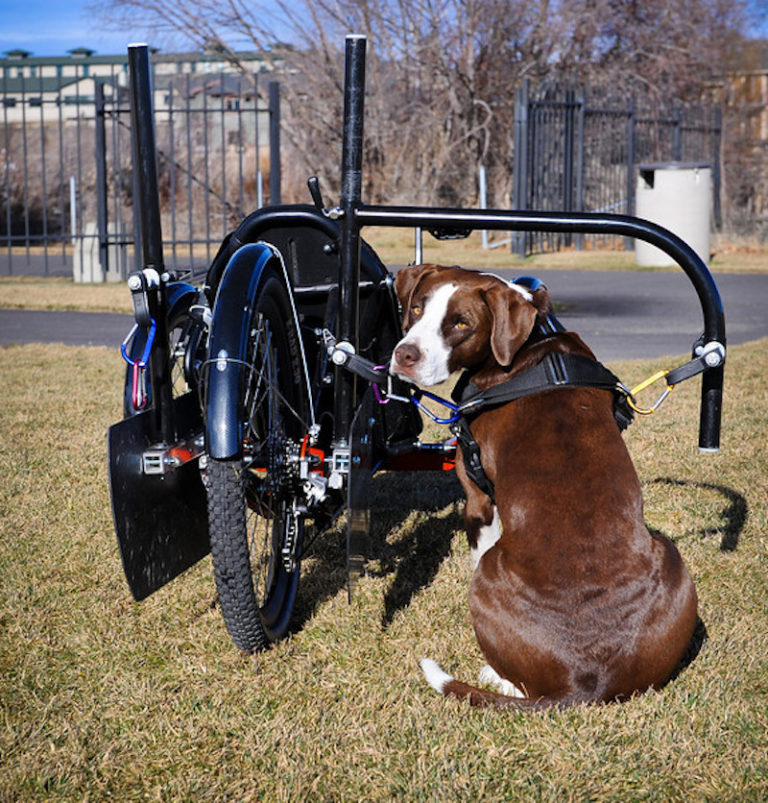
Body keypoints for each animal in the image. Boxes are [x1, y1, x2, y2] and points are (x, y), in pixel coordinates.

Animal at [392, 264, 700, 708]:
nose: (405, 355)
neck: (530, 341)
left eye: (461, 324)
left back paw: (493, 675)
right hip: (672, 560)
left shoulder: (477, 495)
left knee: (520, 685)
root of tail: (585, 683)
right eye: (416, 308)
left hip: (488, 577)